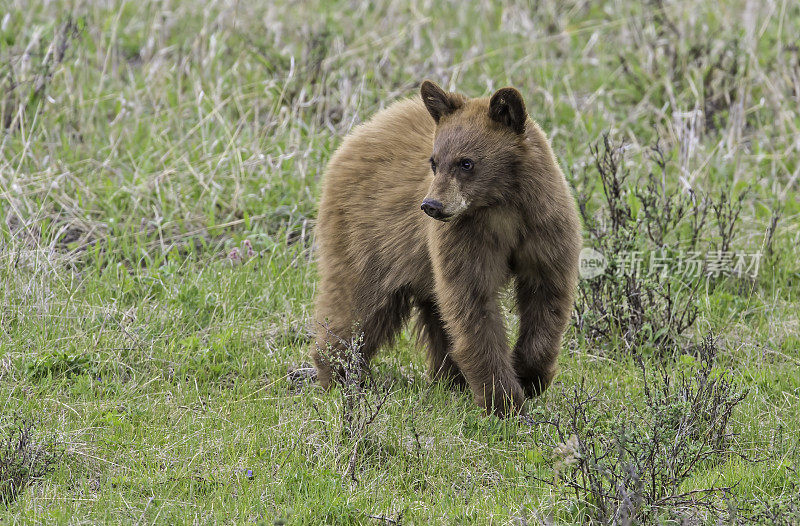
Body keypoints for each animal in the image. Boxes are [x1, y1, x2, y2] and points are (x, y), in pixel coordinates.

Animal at [310, 80, 580, 418]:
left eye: (466, 162)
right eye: (434, 162)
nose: (431, 206)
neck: (501, 207)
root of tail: (358, 132)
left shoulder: (543, 227)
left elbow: (547, 295)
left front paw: (529, 376)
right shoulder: (465, 238)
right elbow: (472, 304)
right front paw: (504, 401)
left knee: (434, 314)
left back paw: (450, 379)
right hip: (368, 240)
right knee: (358, 304)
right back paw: (338, 374)